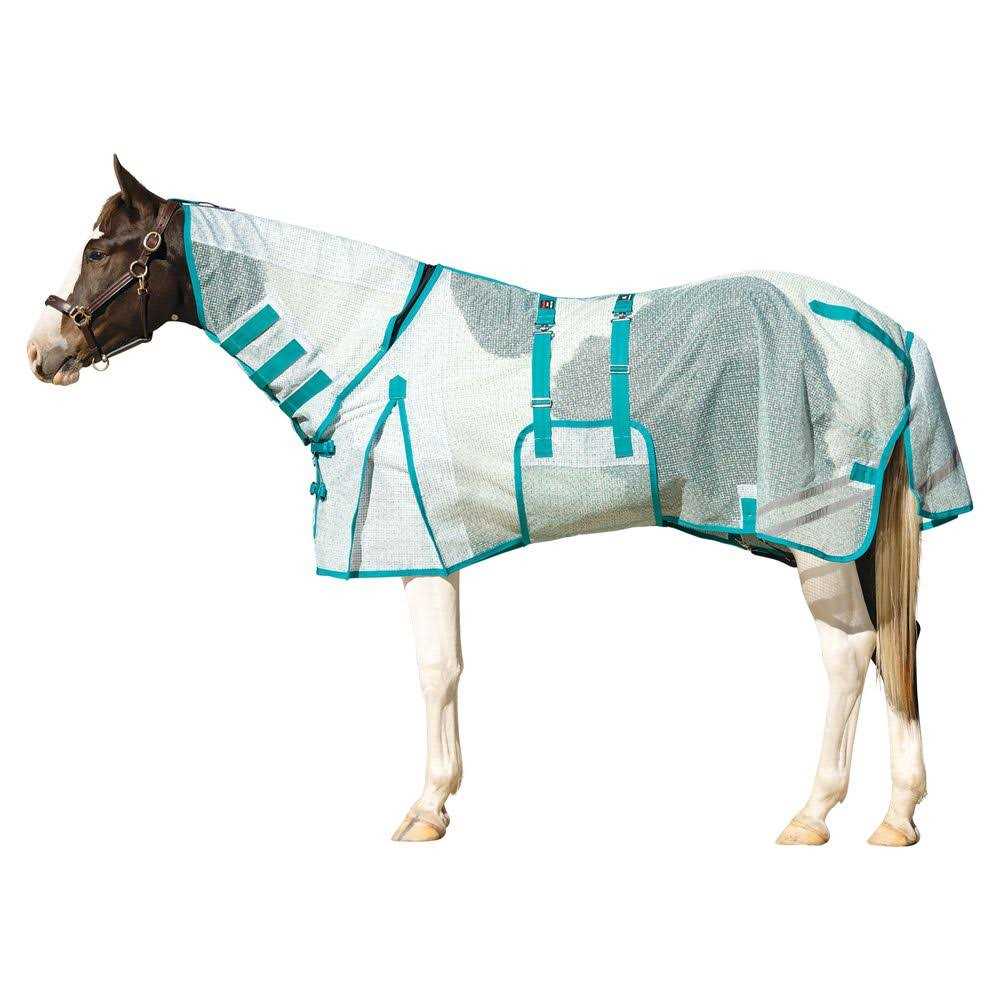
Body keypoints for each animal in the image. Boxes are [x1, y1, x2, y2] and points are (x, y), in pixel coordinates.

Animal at [27, 158, 972, 844]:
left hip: (815, 540)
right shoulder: (439, 546)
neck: (375, 341)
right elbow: (448, 668)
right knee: (897, 643)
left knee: (851, 653)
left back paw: (814, 815)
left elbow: (434, 671)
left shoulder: (419, 544)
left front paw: (425, 810)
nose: (44, 351)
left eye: (107, 249)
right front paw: (438, 801)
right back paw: (896, 816)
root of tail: (888, 330)